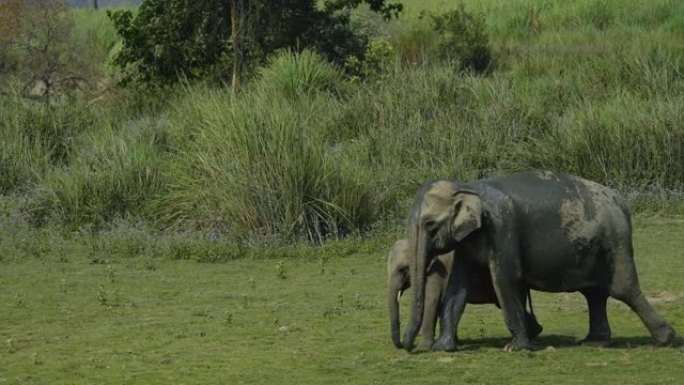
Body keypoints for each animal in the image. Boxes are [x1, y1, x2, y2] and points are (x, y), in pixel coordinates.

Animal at [388, 238, 544, 350]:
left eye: (403, 269)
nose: (406, 344)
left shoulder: (437, 273)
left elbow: (432, 301)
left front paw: (424, 348)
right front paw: (455, 343)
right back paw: (535, 332)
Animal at [404, 171, 676, 352]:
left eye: (431, 226)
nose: (410, 348)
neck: (466, 187)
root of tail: (621, 201)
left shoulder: (502, 227)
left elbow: (506, 278)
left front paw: (515, 348)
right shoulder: (466, 243)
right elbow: (457, 288)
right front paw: (442, 348)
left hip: (614, 240)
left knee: (623, 289)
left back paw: (666, 339)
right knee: (595, 293)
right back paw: (594, 341)